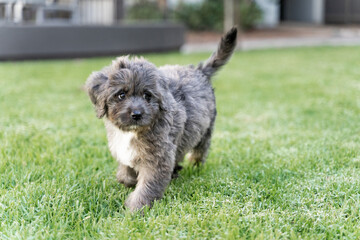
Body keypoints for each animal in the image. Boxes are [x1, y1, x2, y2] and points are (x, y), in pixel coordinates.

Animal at [86, 27, 238, 212]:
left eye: (147, 95)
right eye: (121, 94)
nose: (137, 114)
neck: (133, 133)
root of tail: (198, 70)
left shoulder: (158, 158)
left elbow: (147, 186)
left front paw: (136, 209)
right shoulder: (124, 149)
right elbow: (124, 172)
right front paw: (129, 180)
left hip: (204, 132)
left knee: (199, 151)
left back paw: (193, 166)